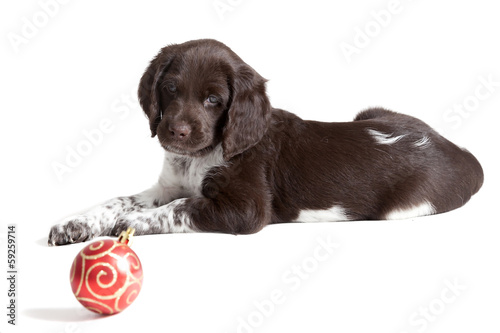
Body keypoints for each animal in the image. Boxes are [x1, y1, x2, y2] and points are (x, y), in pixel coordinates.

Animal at [47, 39, 484, 246]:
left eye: (213, 100)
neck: (201, 156)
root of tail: (463, 153)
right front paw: (75, 223)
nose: (177, 132)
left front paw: (130, 223)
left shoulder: (245, 208)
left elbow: (178, 209)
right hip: (371, 111)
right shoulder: (168, 185)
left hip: (404, 208)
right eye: (170, 89)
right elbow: (120, 199)